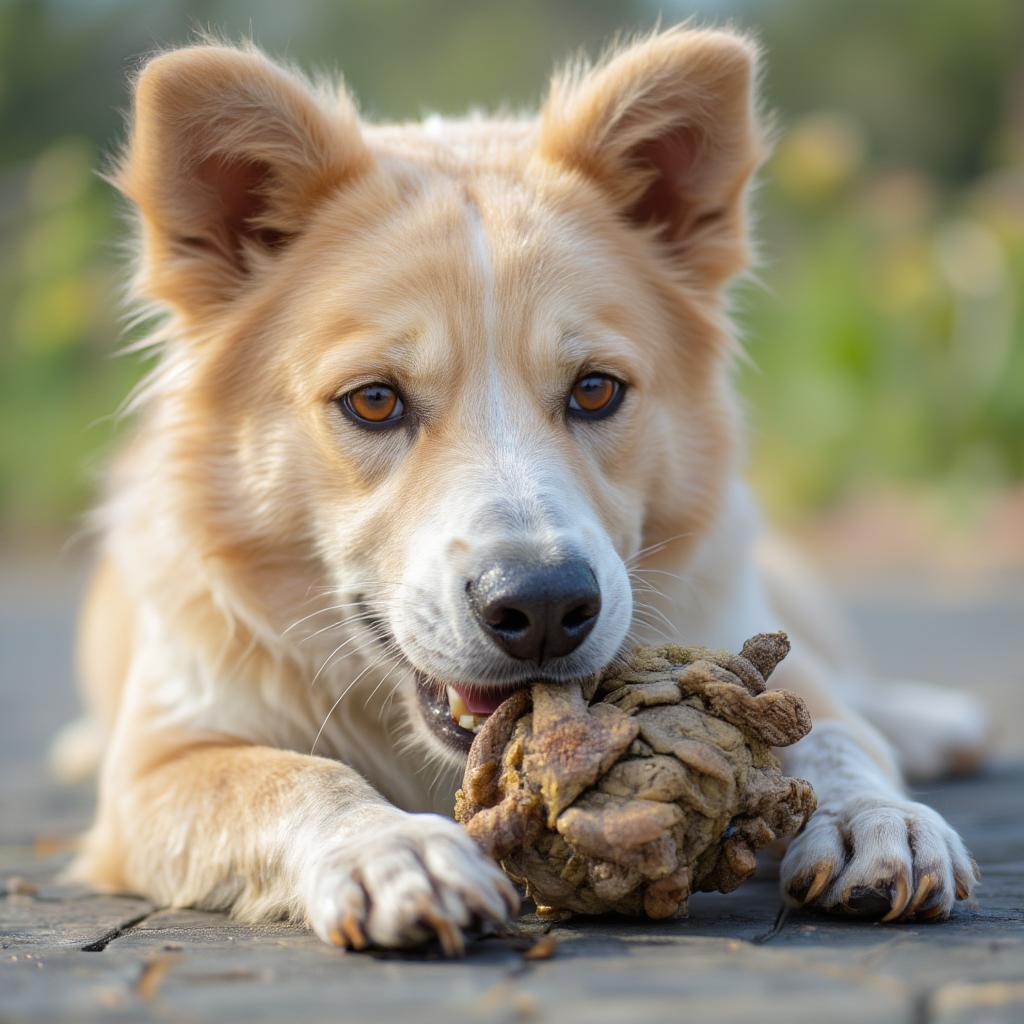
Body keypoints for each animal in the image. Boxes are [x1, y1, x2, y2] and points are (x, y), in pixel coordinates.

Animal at [51, 24, 987, 950]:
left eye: (596, 390)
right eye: (374, 401)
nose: (542, 608)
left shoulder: (743, 643)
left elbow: (838, 737)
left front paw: (878, 818)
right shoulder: (157, 767)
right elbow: (296, 777)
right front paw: (391, 849)